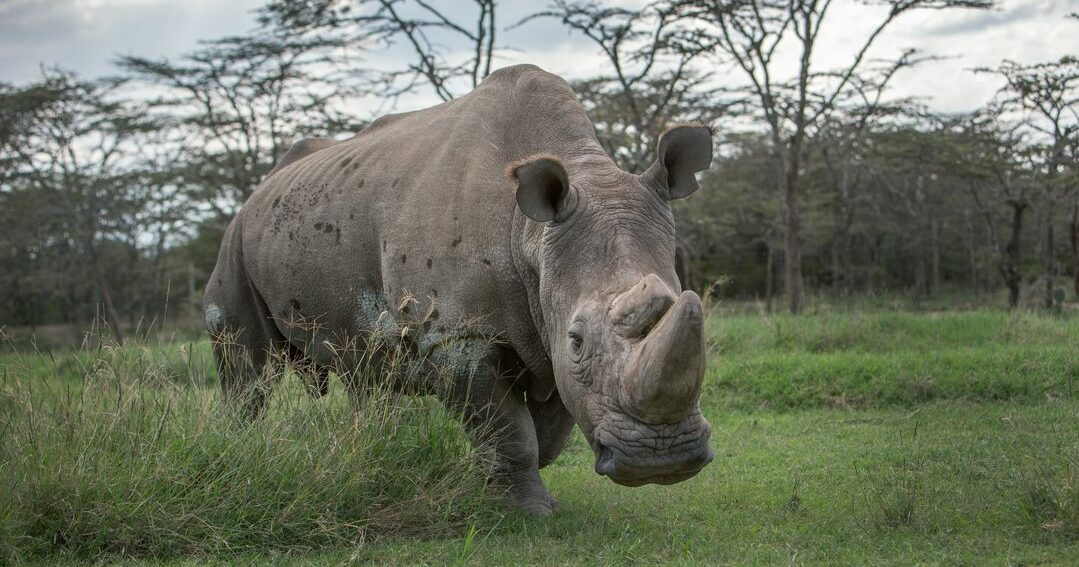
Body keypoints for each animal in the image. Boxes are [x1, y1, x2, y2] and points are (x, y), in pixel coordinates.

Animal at [203, 64, 714, 515]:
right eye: (577, 339)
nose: (662, 458)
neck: (530, 235)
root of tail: (261, 188)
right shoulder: (458, 336)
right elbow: (511, 432)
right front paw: (526, 511)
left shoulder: (546, 321)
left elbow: (547, 429)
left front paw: (492, 487)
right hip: (236, 236)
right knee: (246, 364)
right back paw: (243, 450)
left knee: (365, 370)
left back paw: (373, 449)